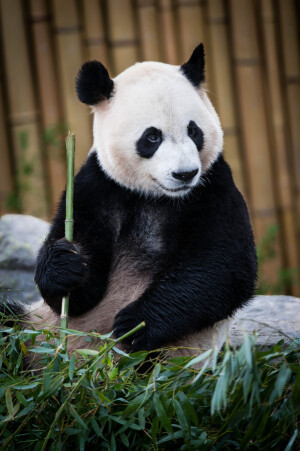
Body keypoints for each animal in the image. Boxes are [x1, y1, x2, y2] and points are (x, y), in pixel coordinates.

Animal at [1, 44, 258, 362]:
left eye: (194, 131)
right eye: (152, 136)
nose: (185, 174)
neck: (156, 196)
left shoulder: (213, 185)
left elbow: (223, 266)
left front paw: (134, 324)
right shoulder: (97, 186)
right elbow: (76, 291)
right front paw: (64, 265)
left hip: (171, 354)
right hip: (34, 328)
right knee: (8, 322)